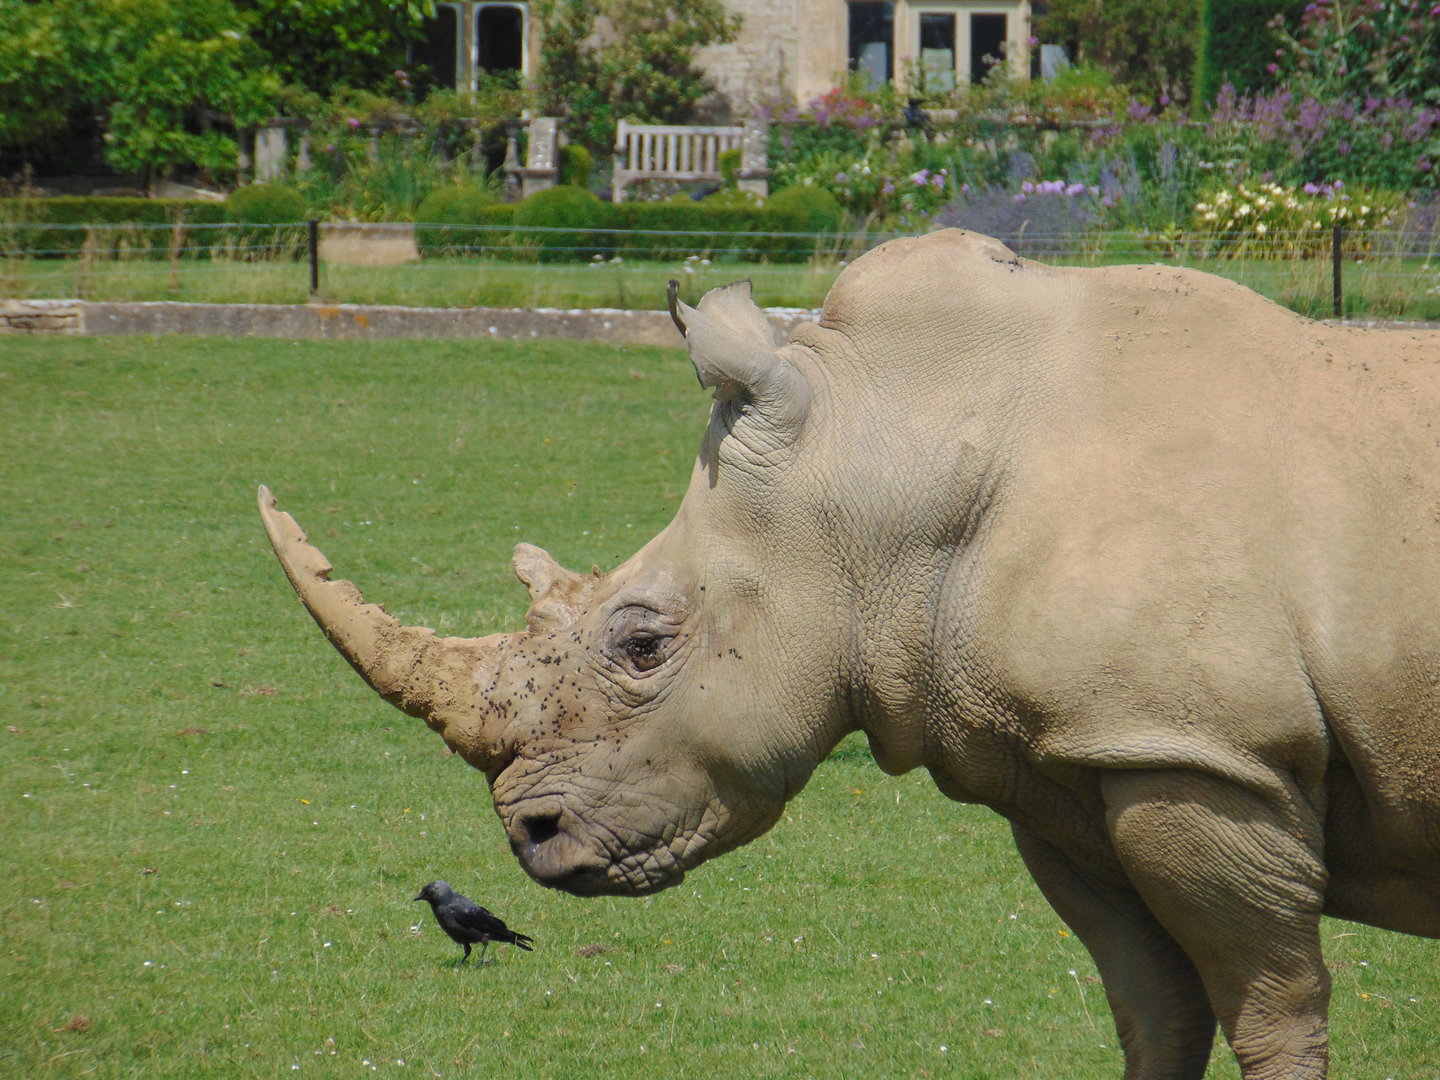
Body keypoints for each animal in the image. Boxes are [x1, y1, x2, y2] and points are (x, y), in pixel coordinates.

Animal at [259, 229, 1440, 1079]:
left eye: (641, 646)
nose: (528, 840)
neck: (887, 457)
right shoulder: (1082, 761)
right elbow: (1158, 1012)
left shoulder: (1206, 756)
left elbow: (1272, 1010)